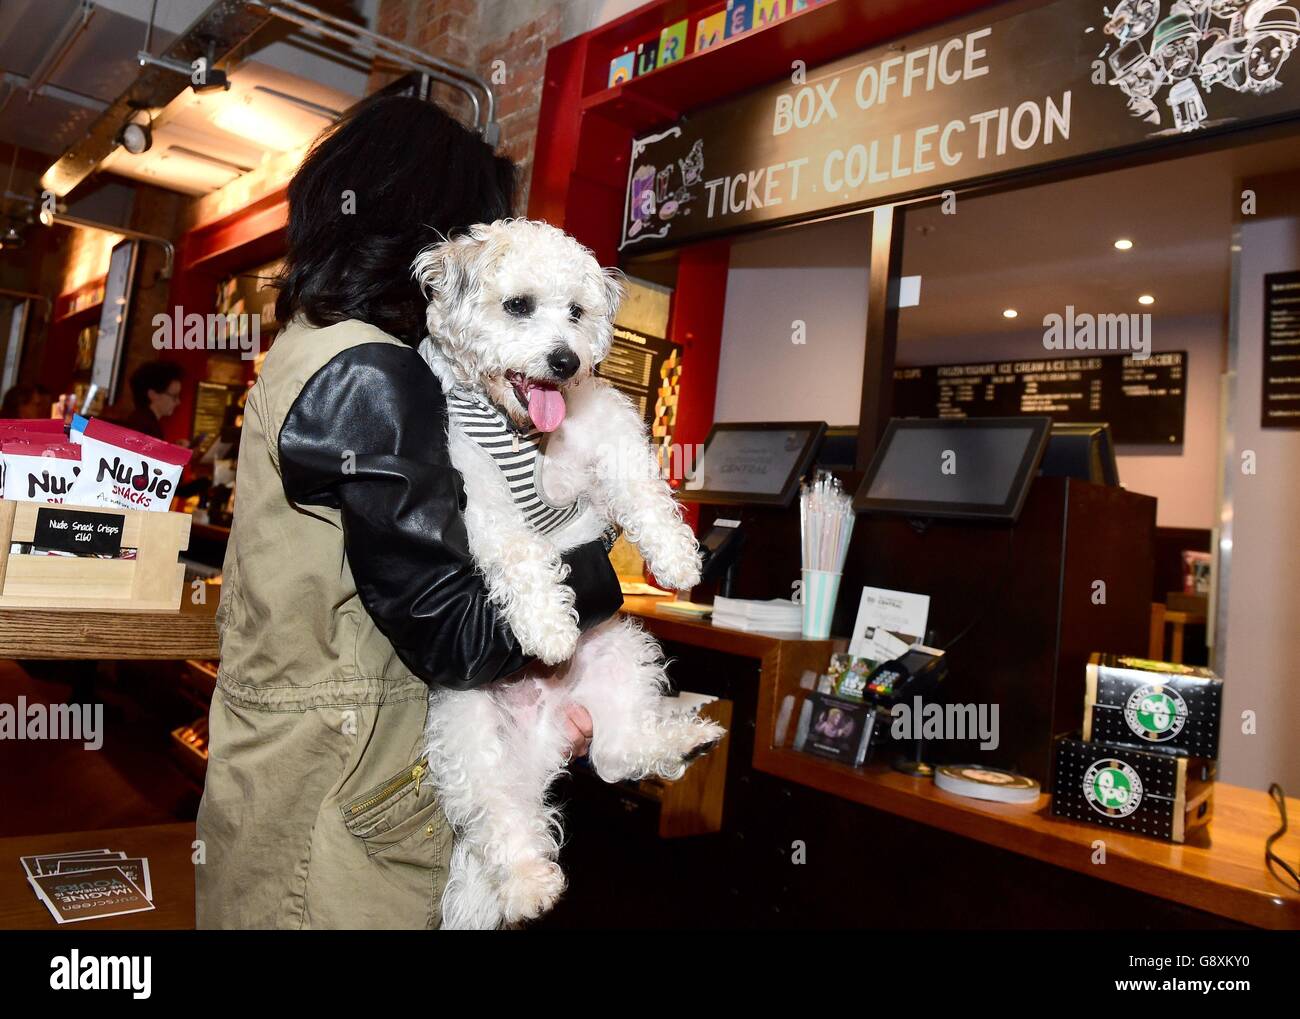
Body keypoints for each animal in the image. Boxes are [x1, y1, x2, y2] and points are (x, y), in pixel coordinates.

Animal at [413, 218, 728, 925]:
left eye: (577, 313)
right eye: (518, 305)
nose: (565, 361)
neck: (527, 435)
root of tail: (546, 722)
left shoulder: (609, 433)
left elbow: (642, 491)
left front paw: (676, 556)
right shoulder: (479, 500)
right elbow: (521, 556)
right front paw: (550, 628)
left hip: (623, 657)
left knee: (616, 756)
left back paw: (683, 743)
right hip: (467, 737)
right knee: (501, 819)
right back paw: (529, 884)